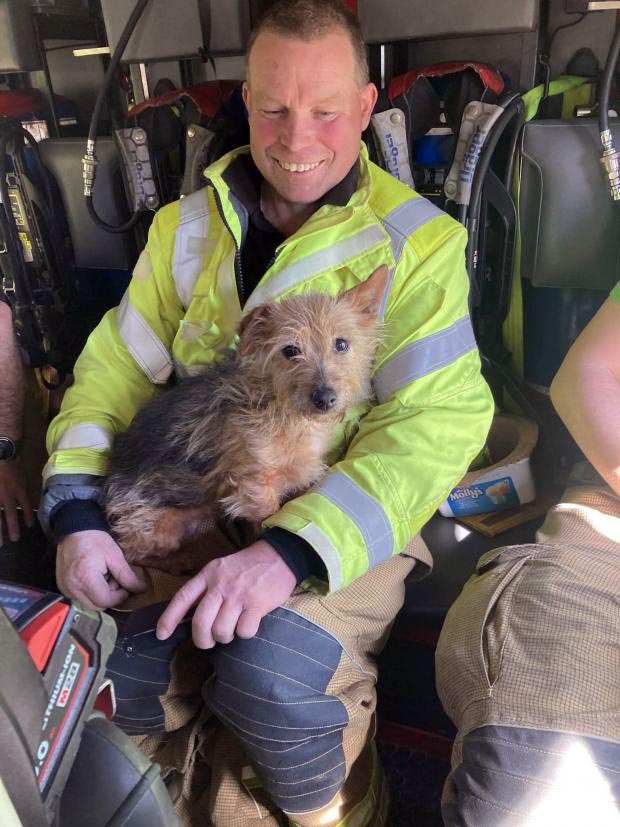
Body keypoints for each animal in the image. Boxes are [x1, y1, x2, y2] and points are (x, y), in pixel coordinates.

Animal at [101, 266, 388, 576]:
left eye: (341, 344)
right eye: (290, 350)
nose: (325, 398)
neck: (284, 410)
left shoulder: (299, 472)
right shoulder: (255, 485)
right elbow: (265, 520)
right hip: (157, 523)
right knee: (131, 553)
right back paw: (179, 562)